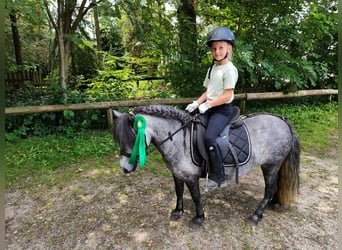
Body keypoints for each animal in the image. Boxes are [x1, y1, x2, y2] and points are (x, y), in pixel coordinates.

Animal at [112, 104, 300, 226]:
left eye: (132, 138)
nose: (125, 168)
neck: (178, 138)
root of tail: (284, 122)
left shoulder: (191, 176)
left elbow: (196, 196)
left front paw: (198, 218)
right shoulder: (177, 174)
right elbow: (178, 192)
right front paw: (177, 211)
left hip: (271, 164)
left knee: (269, 188)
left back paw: (256, 215)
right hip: (275, 165)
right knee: (275, 186)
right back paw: (273, 203)